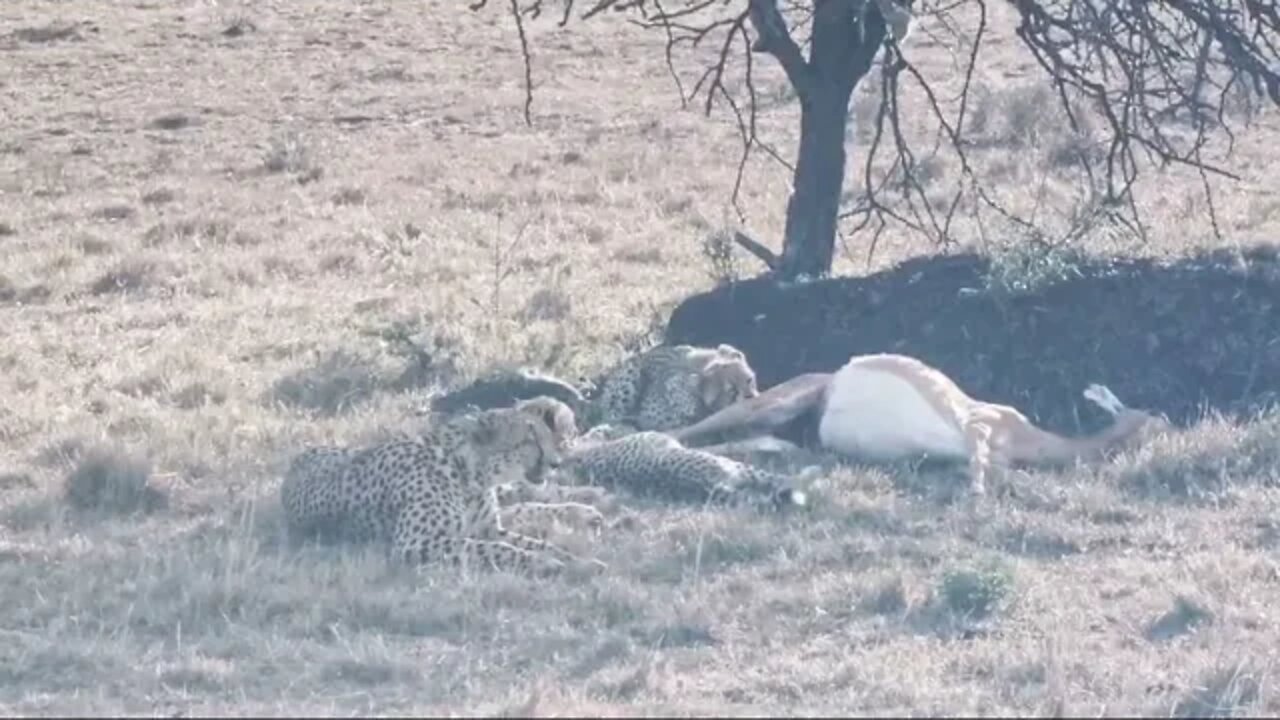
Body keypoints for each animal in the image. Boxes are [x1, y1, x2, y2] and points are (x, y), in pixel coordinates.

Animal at [279, 394, 604, 573]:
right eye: (531, 440)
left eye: (545, 435)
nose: (556, 463)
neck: (470, 471)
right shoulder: (416, 542)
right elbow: (496, 550)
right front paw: (547, 563)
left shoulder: (488, 527)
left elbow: (534, 542)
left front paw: (575, 560)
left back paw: (588, 506)